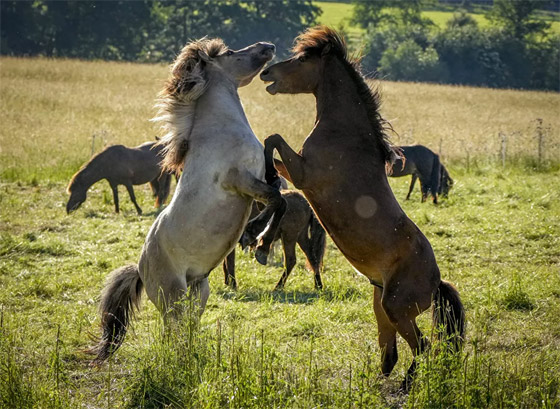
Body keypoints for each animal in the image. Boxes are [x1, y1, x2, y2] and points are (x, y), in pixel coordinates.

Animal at [91, 39, 286, 364]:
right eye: (231, 53)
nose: (267, 45)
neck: (221, 131)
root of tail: (141, 269)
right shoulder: (240, 181)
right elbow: (276, 201)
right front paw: (256, 239)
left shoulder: (259, 179)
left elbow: (277, 193)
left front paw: (257, 239)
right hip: (175, 295)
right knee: (174, 331)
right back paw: (180, 362)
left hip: (199, 290)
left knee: (187, 328)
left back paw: (196, 356)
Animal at [258, 26, 464, 392]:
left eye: (302, 59)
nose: (266, 73)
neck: (344, 132)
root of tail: (436, 280)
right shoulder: (298, 172)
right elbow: (271, 153)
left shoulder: (304, 173)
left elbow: (273, 139)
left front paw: (263, 242)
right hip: (381, 306)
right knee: (391, 352)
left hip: (396, 308)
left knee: (421, 346)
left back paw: (406, 387)